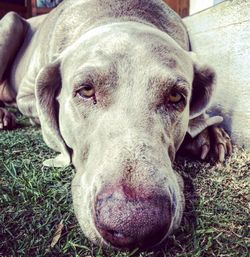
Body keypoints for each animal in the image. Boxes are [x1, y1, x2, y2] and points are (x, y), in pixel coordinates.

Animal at [0, 0, 231, 248]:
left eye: (176, 96)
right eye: (86, 90)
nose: (135, 223)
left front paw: (208, 134)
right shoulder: (26, 94)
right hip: (10, 22)